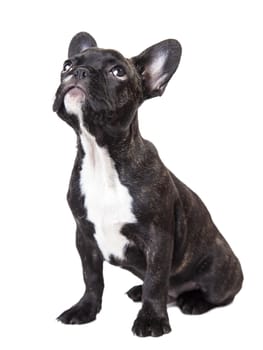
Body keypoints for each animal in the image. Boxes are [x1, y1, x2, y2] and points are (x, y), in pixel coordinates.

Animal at [52, 32, 244, 336]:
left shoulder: (158, 238)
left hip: (218, 271)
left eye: (117, 72)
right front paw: (84, 309)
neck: (101, 158)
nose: (79, 72)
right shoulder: (84, 236)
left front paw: (152, 320)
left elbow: (155, 279)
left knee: (218, 295)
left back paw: (194, 301)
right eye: (67, 64)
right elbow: (91, 277)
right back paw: (139, 291)